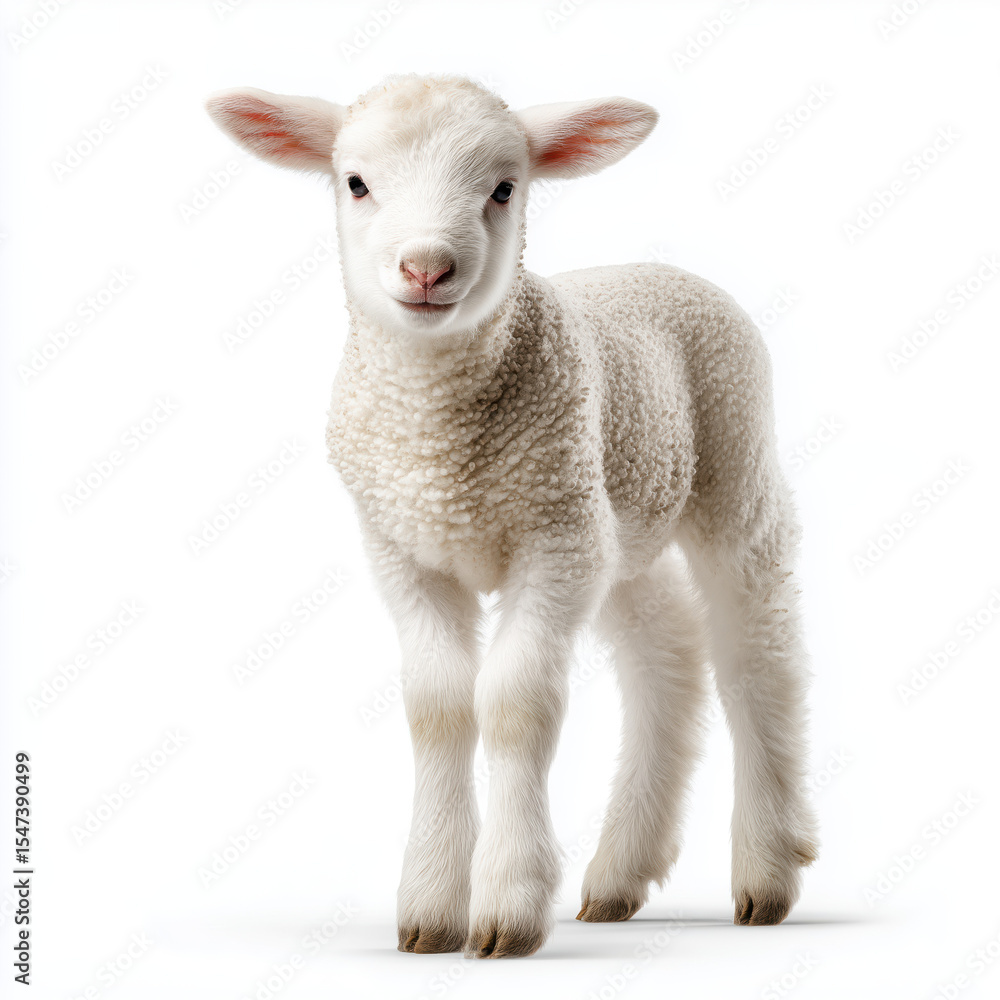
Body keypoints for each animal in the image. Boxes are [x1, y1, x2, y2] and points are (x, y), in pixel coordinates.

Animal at [206, 73, 819, 959]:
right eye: (355, 183)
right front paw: (431, 907)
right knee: (665, 652)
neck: (440, 444)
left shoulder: (551, 544)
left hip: (729, 466)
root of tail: (656, 268)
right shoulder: (405, 549)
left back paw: (766, 873)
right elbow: (437, 706)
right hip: (615, 518)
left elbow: (515, 703)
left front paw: (508, 907)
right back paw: (620, 874)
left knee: (757, 651)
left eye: (504, 189)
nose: (426, 267)